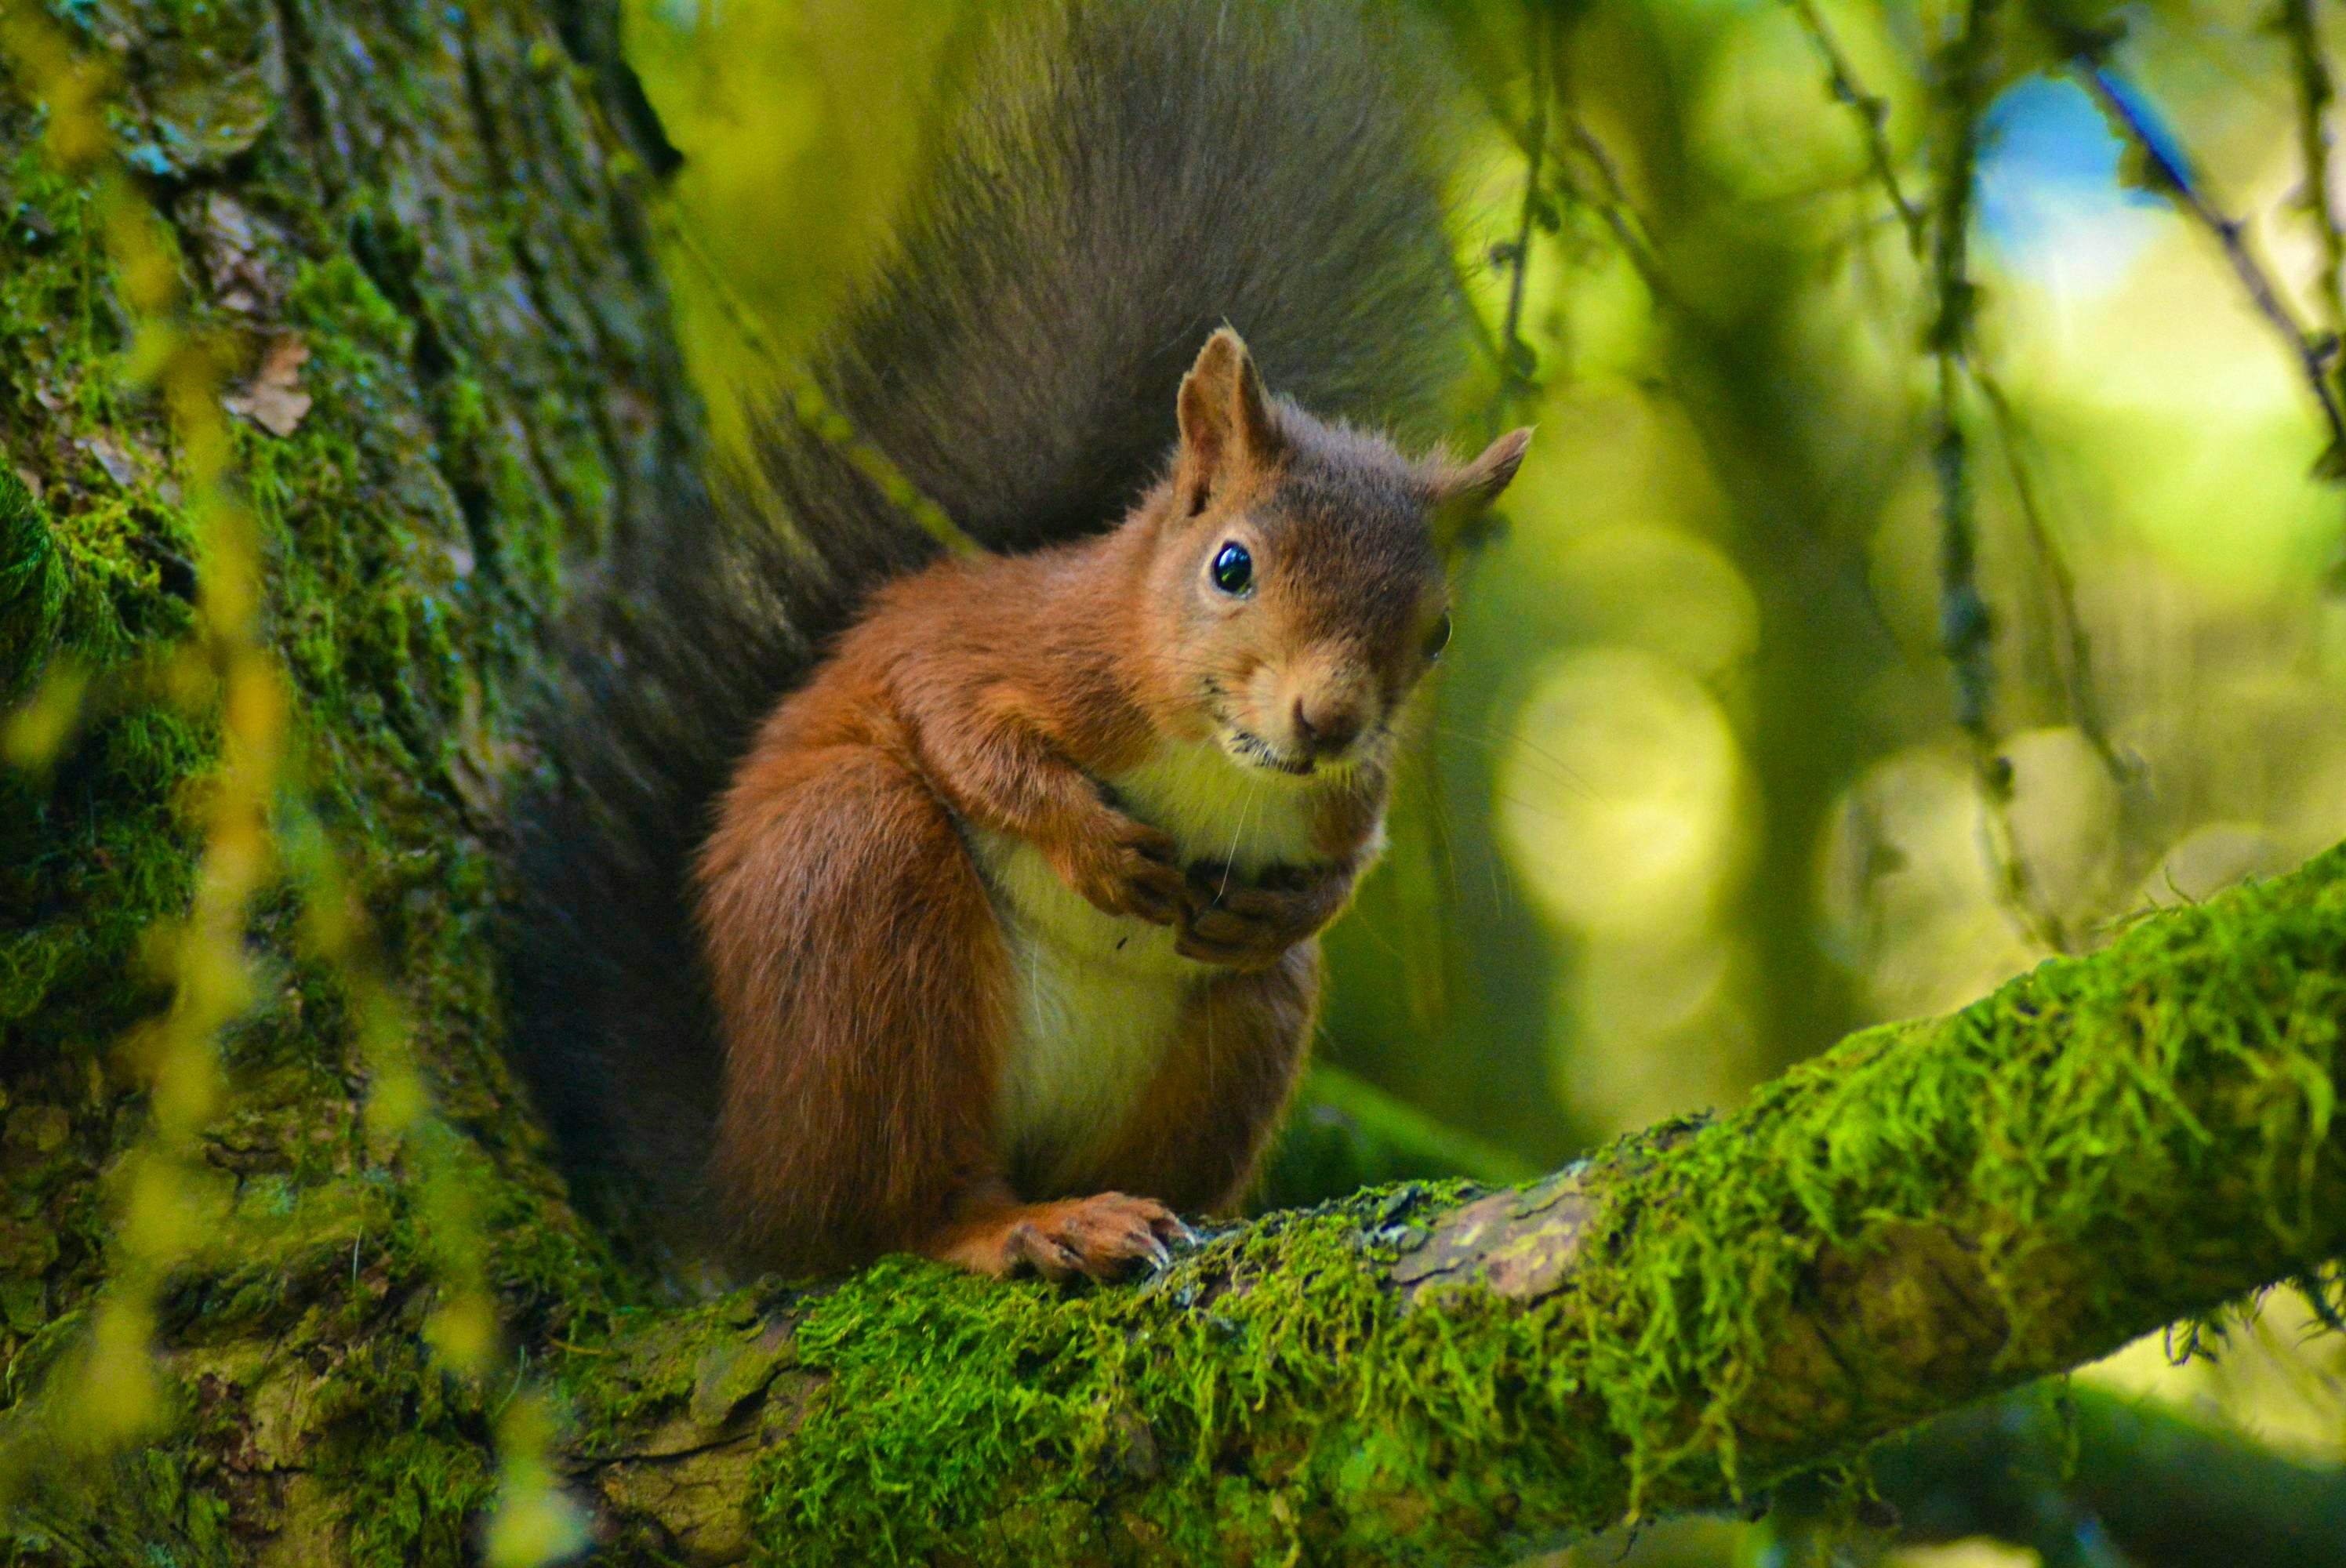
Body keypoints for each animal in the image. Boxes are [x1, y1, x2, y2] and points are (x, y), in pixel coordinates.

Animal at [508, 0, 1528, 1283]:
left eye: (1437, 630)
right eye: (1231, 566)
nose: (1329, 720)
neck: (1213, 757)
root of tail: (741, 1180)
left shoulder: (1341, 801)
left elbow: (1345, 863)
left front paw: (1295, 902)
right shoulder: (1010, 642)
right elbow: (954, 720)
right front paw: (1082, 837)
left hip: (1239, 1028)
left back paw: (1132, 1204)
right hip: (858, 898)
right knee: (898, 1206)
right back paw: (1016, 1225)